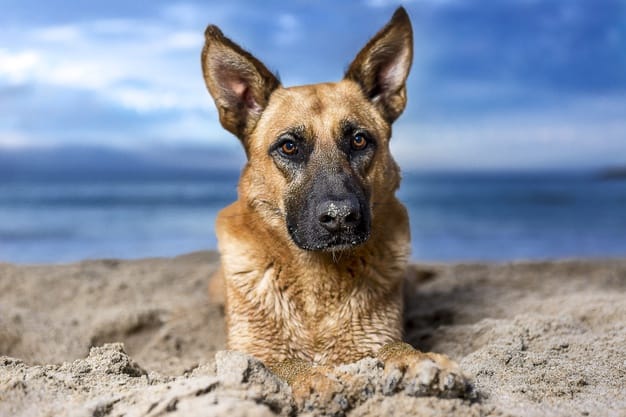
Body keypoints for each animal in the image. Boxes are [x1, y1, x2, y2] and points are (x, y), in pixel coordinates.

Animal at [202, 6, 466, 402]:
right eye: (289, 146)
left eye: (359, 140)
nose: (341, 217)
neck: (317, 281)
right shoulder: (247, 354)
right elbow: (285, 363)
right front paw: (316, 379)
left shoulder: (374, 339)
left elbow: (395, 347)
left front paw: (417, 360)